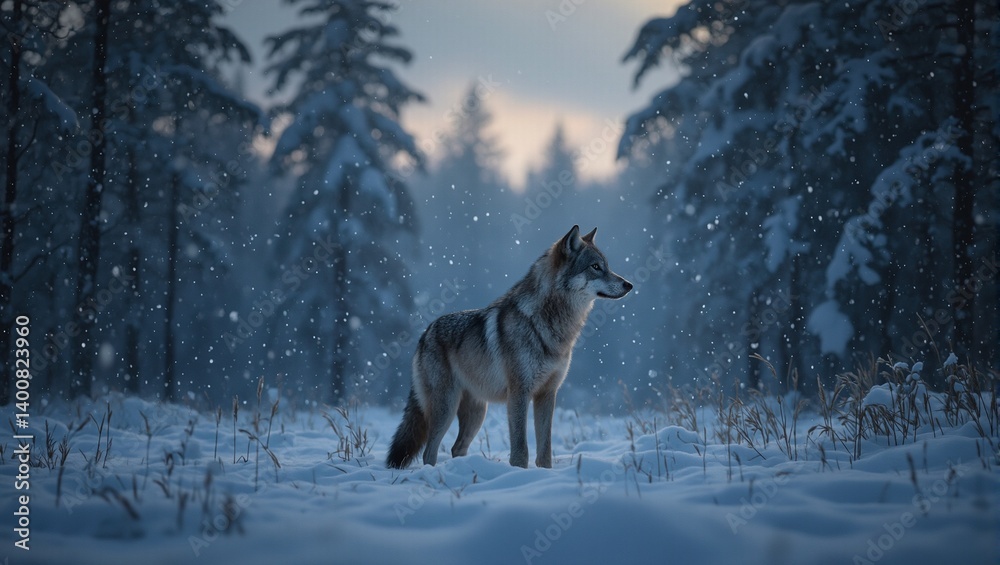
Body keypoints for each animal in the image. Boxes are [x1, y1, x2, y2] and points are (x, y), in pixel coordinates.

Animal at [386, 225, 632, 469]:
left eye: (607, 266)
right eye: (595, 267)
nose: (629, 285)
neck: (551, 327)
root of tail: (425, 332)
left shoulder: (547, 394)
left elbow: (545, 449)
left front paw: (543, 474)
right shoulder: (519, 393)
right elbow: (521, 449)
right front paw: (521, 473)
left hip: (477, 414)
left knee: (457, 448)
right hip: (446, 408)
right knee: (429, 453)